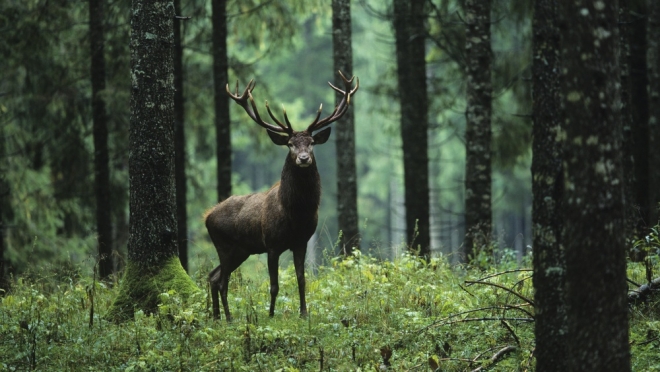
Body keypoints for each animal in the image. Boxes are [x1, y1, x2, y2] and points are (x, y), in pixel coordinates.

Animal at [208, 71, 358, 322]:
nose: (304, 158)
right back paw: (228, 318)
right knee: (221, 281)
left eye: (311, 142)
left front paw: (304, 313)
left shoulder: (301, 242)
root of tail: (207, 217)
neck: (295, 214)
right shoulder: (272, 244)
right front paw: (270, 315)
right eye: (290, 144)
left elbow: (302, 280)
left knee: (213, 276)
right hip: (224, 245)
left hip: (241, 250)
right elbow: (274, 285)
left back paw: (218, 317)